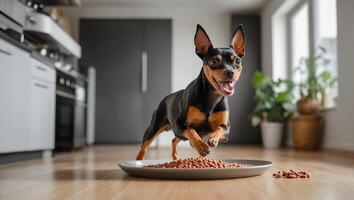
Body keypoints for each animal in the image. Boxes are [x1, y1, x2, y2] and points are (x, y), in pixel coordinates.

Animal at [136, 24, 246, 160]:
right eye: (213, 61)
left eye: (237, 61)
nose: (230, 72)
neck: (211, 97)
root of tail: (165, 98)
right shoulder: (179, 124)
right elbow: (192, 131)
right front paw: (201, 145)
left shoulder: (225, 129)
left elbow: (218, 130)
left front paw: (212, 139)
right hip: (154, 128)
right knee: (144, 146)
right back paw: (139, 160)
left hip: (175, 133)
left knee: (174, 140)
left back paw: (176, 156)